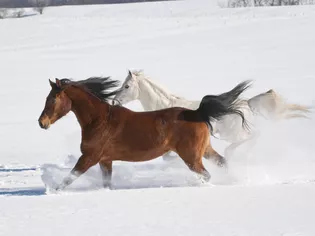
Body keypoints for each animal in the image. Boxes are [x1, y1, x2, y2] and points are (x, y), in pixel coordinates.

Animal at [37, 76, 252, 191]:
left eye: (53, 98)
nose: (41, 123)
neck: (99, 120)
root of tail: (198, 112)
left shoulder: (89, 157)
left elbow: (68, 178)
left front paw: (52, 191)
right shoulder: (105, 160)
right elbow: (107, 183)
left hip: (191, 157)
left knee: (206, 174)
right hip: (205, 150)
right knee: (223, 163)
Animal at [112, 69, 312, 159]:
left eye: (127, 86)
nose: (114, 101)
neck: (166, 106)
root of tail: (246, 104)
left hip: (233, 133)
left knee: (254, 136)